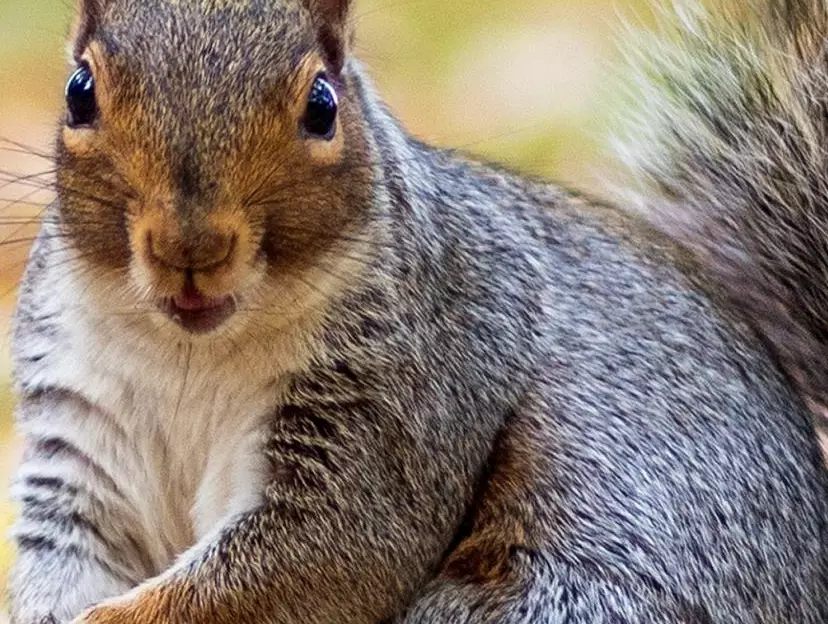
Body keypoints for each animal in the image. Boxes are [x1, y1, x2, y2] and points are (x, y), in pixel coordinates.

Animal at [7, 0, 828, 623]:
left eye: (322, 106)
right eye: (79, 91)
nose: (190, 247)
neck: (190, 351)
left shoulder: (414, 384)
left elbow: (320, 558)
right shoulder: (80, 431)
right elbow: (69, 549)